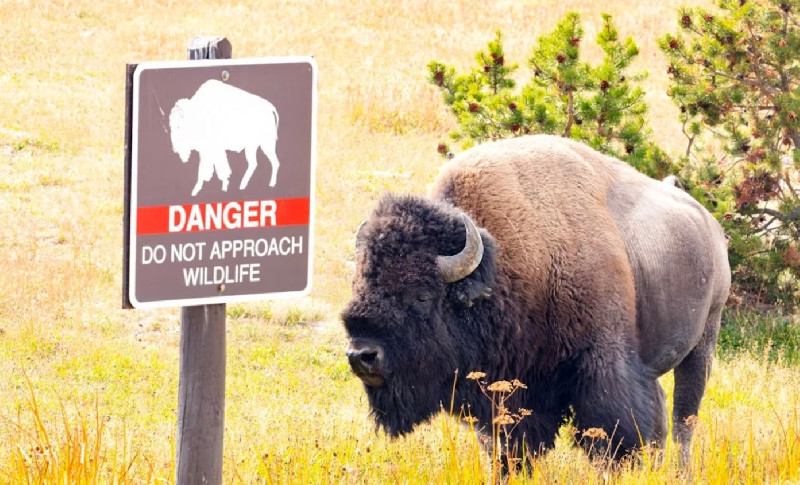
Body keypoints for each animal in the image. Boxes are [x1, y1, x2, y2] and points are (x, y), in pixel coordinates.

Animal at [341, 135, 730, 464]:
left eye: (422, 295)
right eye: (359, 285)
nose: (362, 355)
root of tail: (709, 225)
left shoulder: (602, 367)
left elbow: (613, 435)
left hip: (703, 344)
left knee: (684, 419)